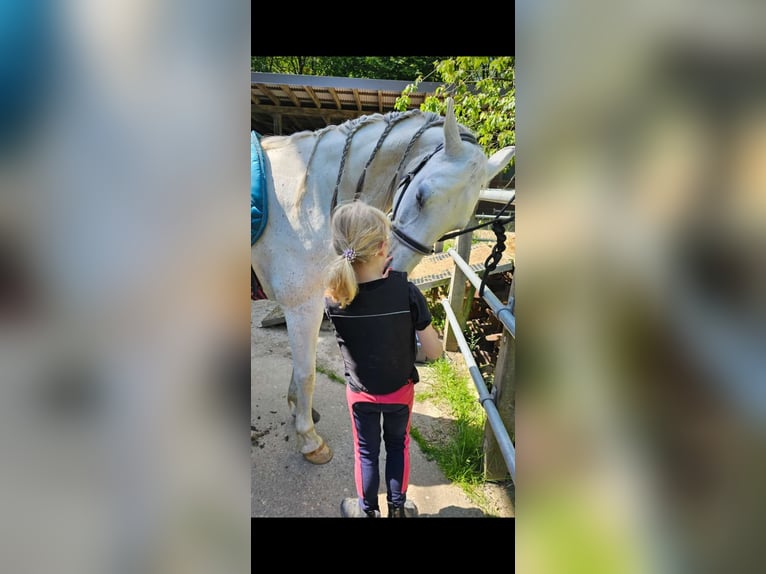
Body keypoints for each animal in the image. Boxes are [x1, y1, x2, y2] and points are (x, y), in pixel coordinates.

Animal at [252, 98, 515, 464]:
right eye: (420, 196)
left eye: (455, 224)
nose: (395, 271)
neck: (306, 200)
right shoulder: (301, 305)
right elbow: (307, 374)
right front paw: (309, 439)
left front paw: (298, 411)